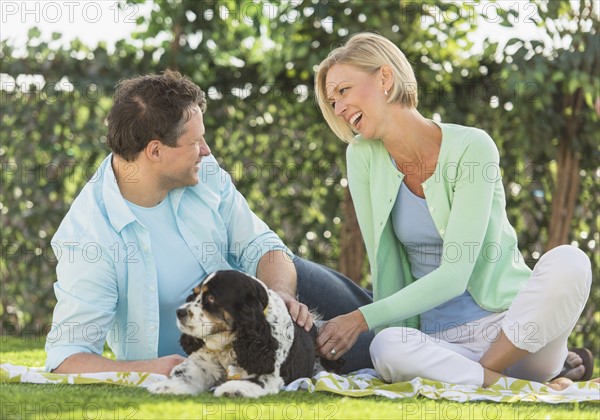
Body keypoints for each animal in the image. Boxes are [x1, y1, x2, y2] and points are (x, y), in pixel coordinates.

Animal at [148, 270, 340, 398]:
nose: (179, 312)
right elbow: (186, 375)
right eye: (194, 295)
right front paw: (165, 386)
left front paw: (232, 389)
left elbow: (253, 381)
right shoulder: (203, 363)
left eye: (211, 298)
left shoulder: (267, 371)